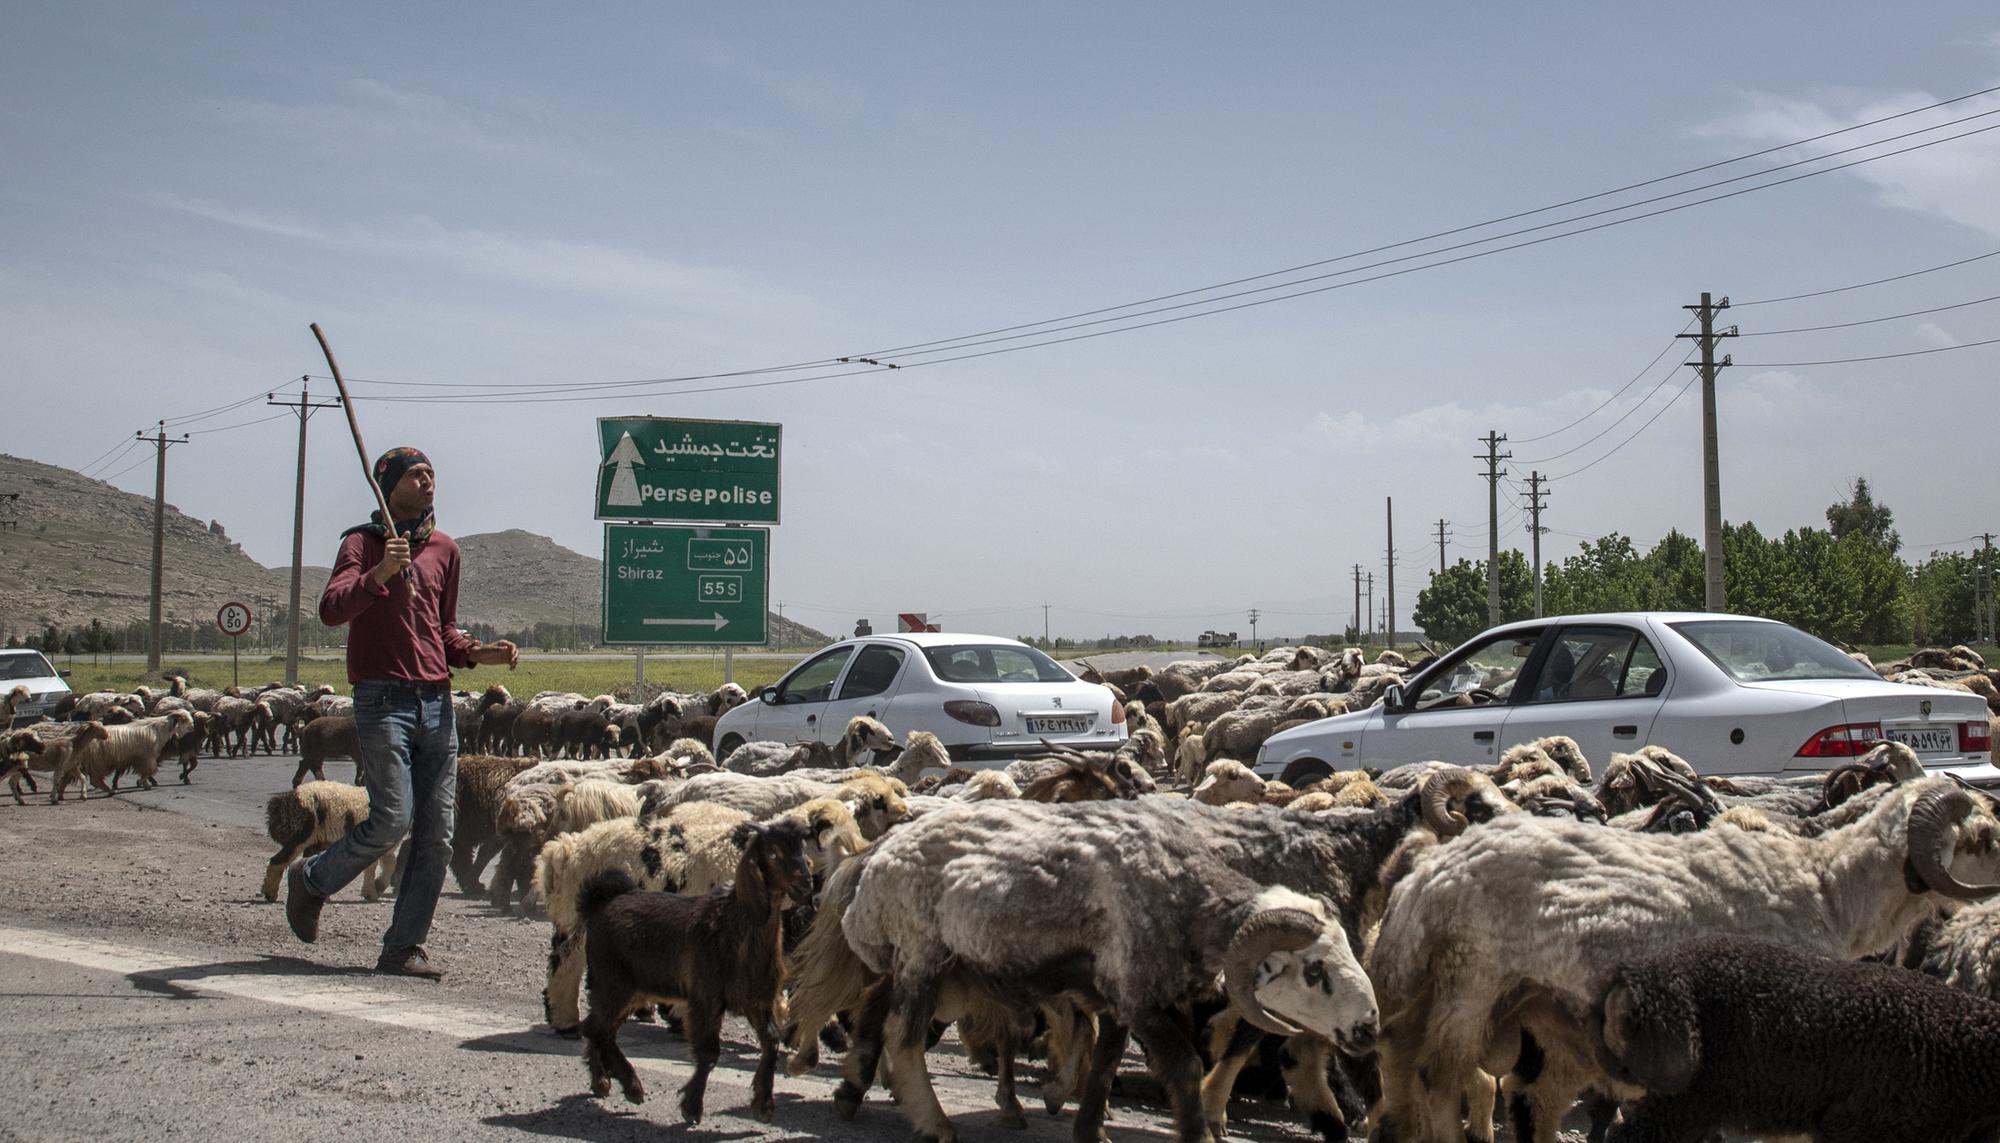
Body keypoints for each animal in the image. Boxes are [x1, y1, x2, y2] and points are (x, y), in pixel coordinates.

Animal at [266, 783, 398, 907]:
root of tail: (287, 800)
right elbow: (373, 867)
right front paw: (371, 893)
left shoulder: (386, 847)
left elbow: (390, 864)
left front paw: (379, 885)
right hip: (302, 834)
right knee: (278, 861)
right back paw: (270, 893)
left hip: (315, 840)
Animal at [572, 823, 812, 1127]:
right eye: (772, 853)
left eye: (802, 848)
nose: (805, 883)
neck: (734, 927)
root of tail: (601, 902)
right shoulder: (706, 997)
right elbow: (709, 1052)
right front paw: (692, 1107)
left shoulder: (757, 999)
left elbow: (771, 1041)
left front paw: (764, 1105)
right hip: (613, 982)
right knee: (597, 1027)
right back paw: (631, 1086)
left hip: (629, 989)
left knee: (600, 1026)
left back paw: (602, 1081)